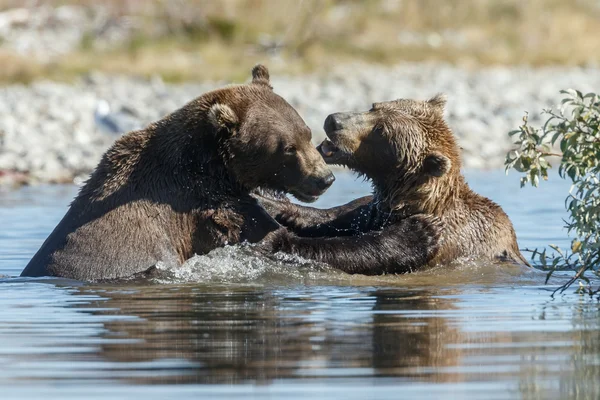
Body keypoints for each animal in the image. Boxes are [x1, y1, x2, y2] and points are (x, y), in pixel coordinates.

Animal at [21, 65, 338, 282]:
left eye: (307, 134)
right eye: (287, 148)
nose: (324, 179)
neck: (213, 167)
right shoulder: (207, 204)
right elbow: (265, 231)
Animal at [260, 94, 528, 272]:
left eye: (381, 131)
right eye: (374, 107)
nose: (333, 120)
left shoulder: (447, 245)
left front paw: (414, 234)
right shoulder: (372, 211)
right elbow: (332, 219)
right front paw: (269, 203)